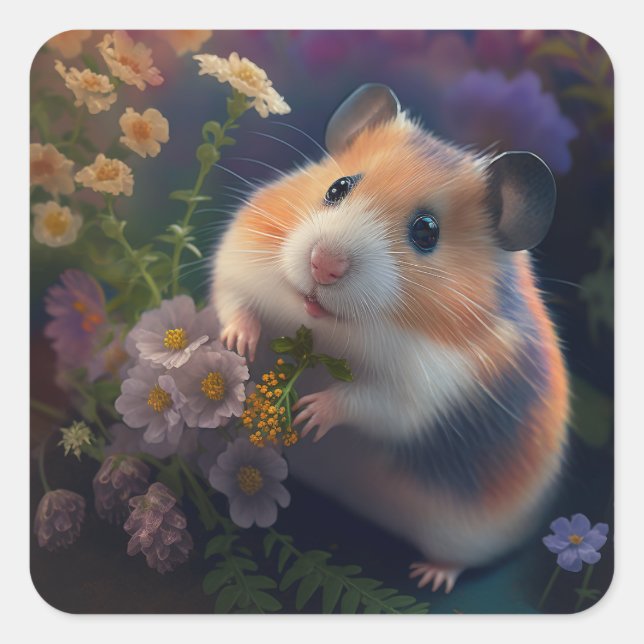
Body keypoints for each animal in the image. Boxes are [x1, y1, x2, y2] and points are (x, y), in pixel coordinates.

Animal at [212, 84, 569, 593]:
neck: (329, 328)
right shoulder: (240, 259)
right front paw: (237, 345)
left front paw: (310, 415)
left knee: (458, 560)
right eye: (338, 188)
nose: (324, 266)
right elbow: (233, 301)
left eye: (426, 231)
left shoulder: (425, 388)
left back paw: (430, 578)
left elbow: (368, 402)